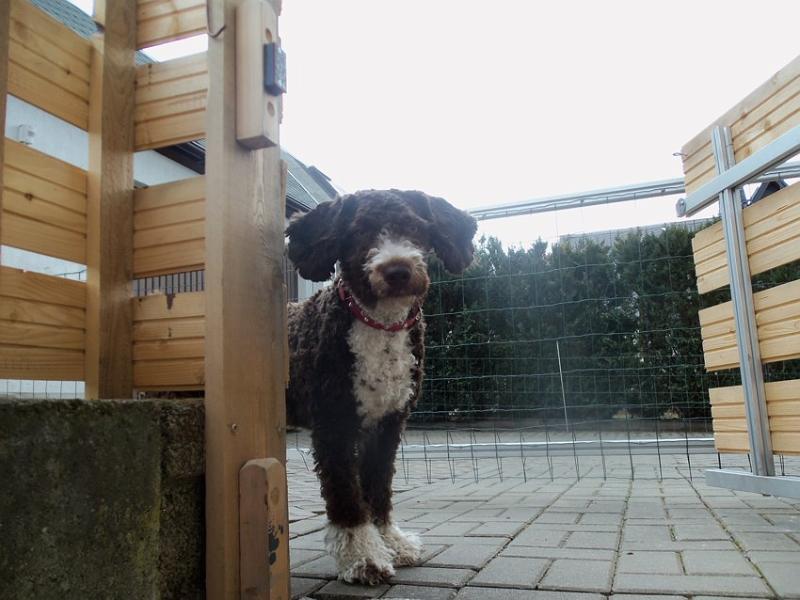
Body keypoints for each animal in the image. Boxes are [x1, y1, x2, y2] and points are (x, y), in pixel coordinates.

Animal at [285, 189, 477, 584]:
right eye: (360, 232)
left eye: (416, 228)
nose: (397, 270)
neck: (379, 325)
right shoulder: (334, 423)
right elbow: (346, 493)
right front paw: (363, 555)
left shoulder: (389, 422)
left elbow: (377, 485)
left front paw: (391, 541)